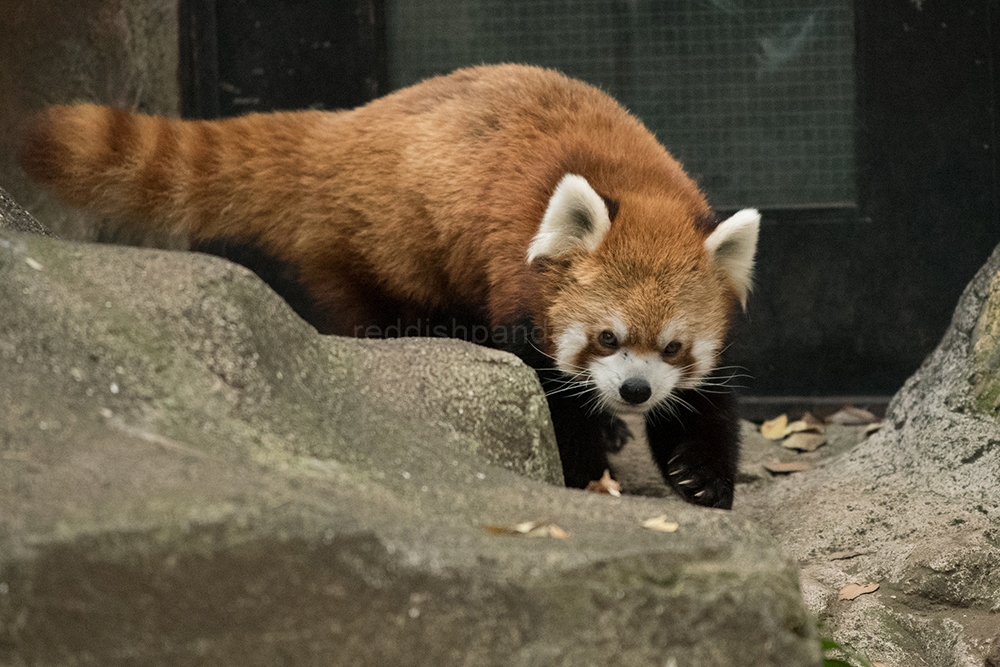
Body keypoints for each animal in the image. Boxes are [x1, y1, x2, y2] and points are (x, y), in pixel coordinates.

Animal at [19, 65, 756, 508]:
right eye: (605, 337)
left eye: (672, 348)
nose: (633, 392)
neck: (632, 180)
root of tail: (344, 126)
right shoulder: (516, 284)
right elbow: (548, 393)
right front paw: (582, 467)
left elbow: (705, 404)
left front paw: (702, 476)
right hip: (374, 249)